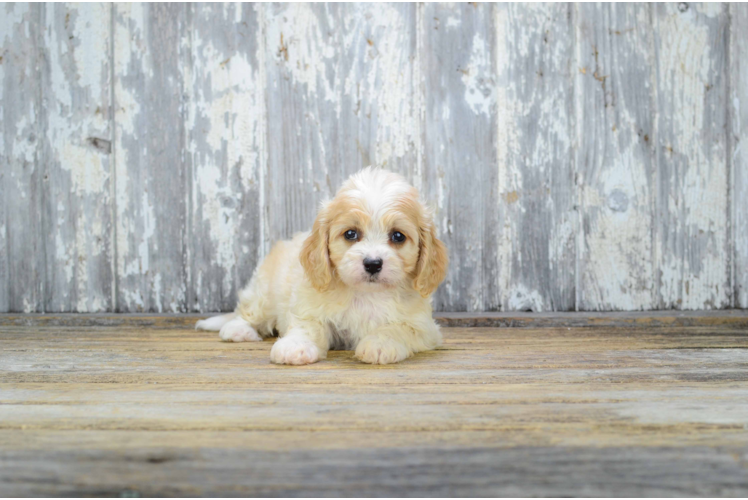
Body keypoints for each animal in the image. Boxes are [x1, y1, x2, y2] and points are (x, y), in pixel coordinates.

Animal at [196, 166, 448, 366]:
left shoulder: (423, 327)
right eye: (350, 234)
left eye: (398, 236)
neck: (366, 294)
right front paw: (294, 346)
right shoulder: (309, 308)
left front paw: (380, 344)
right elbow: (308, 327)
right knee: (247, 311)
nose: (373, 264)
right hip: (264, 292)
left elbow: (397, 328)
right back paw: (238, 330)